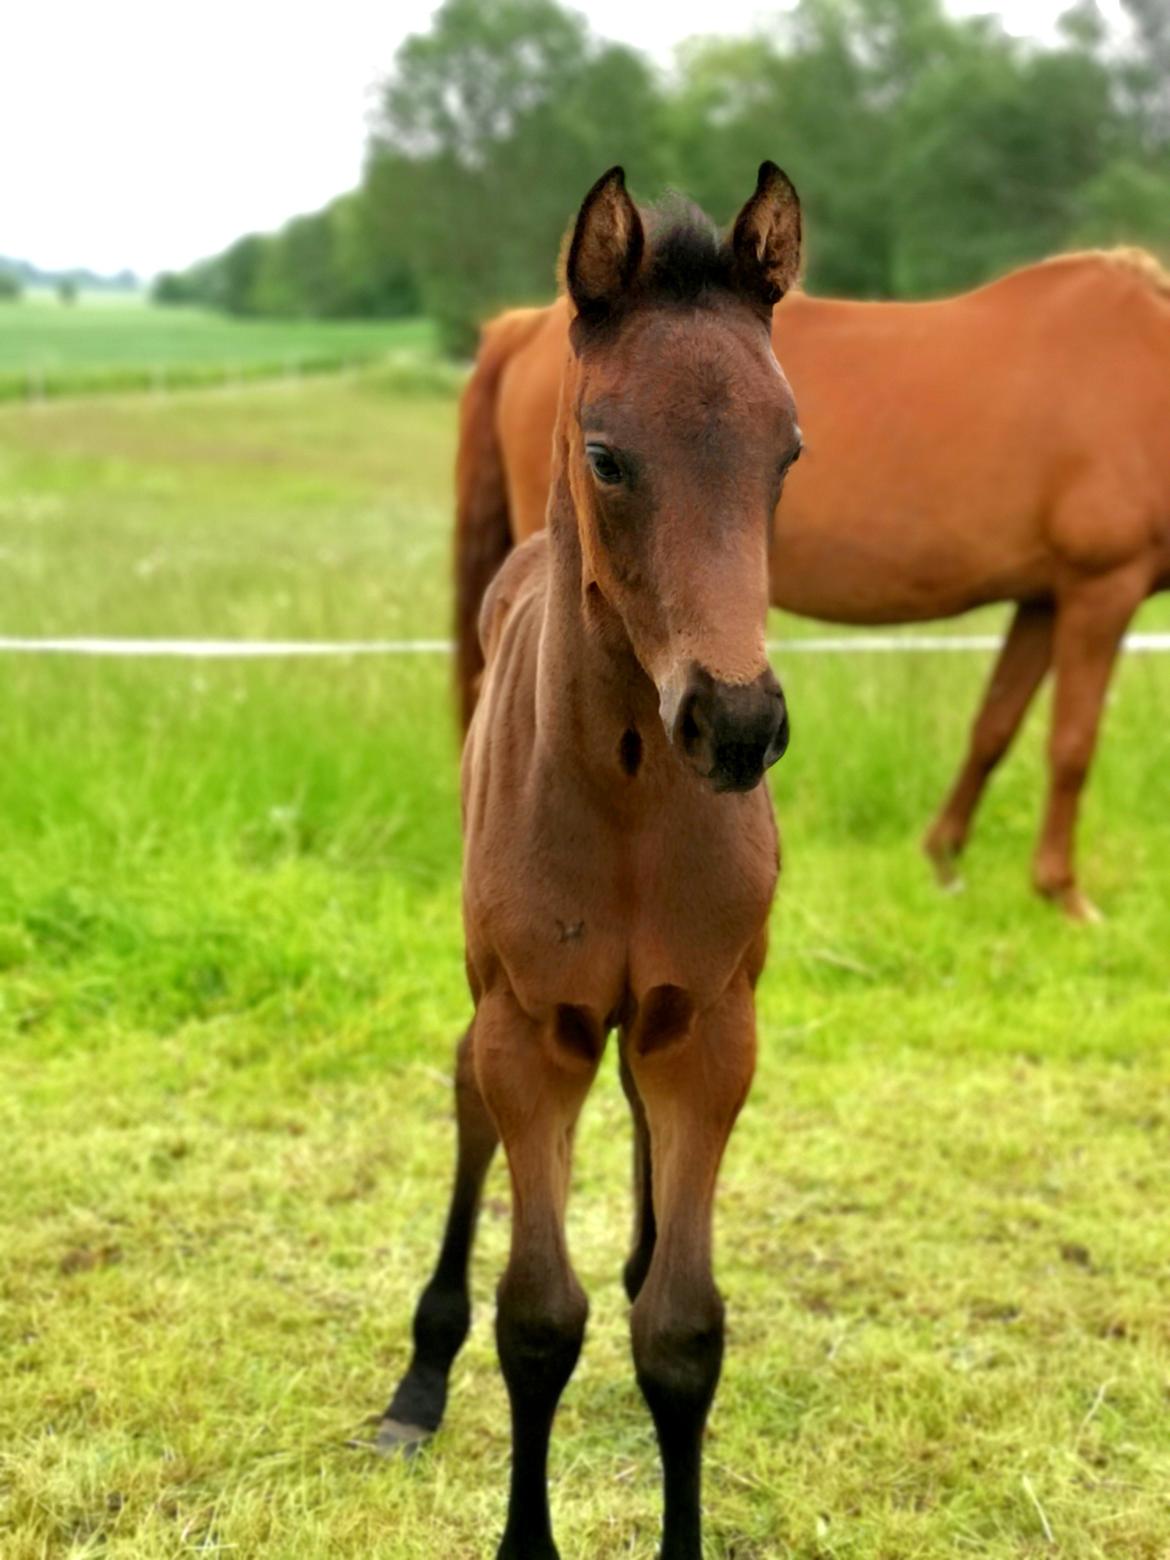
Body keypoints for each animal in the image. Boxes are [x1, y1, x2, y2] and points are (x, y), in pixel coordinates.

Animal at [385, 164, 804, 1553]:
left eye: (789, 452)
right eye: (607, 455)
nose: (736, 723)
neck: (626, 802)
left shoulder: (711, 1026)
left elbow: (680, 1334)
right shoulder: (535, 1025)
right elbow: (537, 1323)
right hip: (495, 998)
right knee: (465, 1098)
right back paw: (417, 1376)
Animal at [455, 249, 1170, 917]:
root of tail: (524, 329)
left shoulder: (1043, 600)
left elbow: (994, 728)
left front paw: (945, 862)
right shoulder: (1100, 589)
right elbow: (1071, 746)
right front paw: (1063, 892)